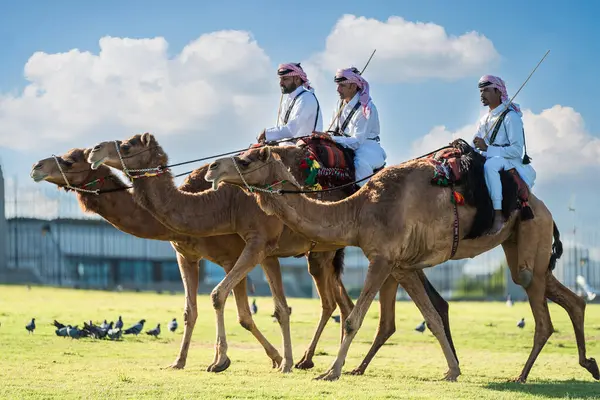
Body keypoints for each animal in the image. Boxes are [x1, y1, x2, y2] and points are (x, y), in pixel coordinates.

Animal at [29, 148, 352, 376]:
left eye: (69, 160)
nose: (36, 167)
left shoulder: (232, 257)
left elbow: (236, 310)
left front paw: (234, 359)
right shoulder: (186, 255)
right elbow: (192, 311)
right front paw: (180, 360)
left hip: (318, 253)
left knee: (327, 303)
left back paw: (308, 360)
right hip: (321, 253)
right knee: (340, 302)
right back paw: (329, 361)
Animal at [88, 133, 464, 380]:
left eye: (126, 145)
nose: (94, 150)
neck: (223, 203)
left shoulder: (254, 244)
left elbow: (220, 295)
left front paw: (224, 361)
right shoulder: (264, 250)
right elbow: (276, 308)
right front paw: (280, 360)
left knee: (371, 306)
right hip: (326, 256)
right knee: (342, 304)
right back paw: (324, 362)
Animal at [203, 142, 600, 382]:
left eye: (246, 159)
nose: (210, 169)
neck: (359, 211)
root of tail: (545, 209)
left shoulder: (381, 259)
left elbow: (353, 319)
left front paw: (330, 371)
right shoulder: (402, 266)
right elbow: (432, 318)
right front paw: (452, 371)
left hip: (532, 235)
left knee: (541, 312)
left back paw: (522, 375)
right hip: (520, 244)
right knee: (571, 299)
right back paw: (589, 364)